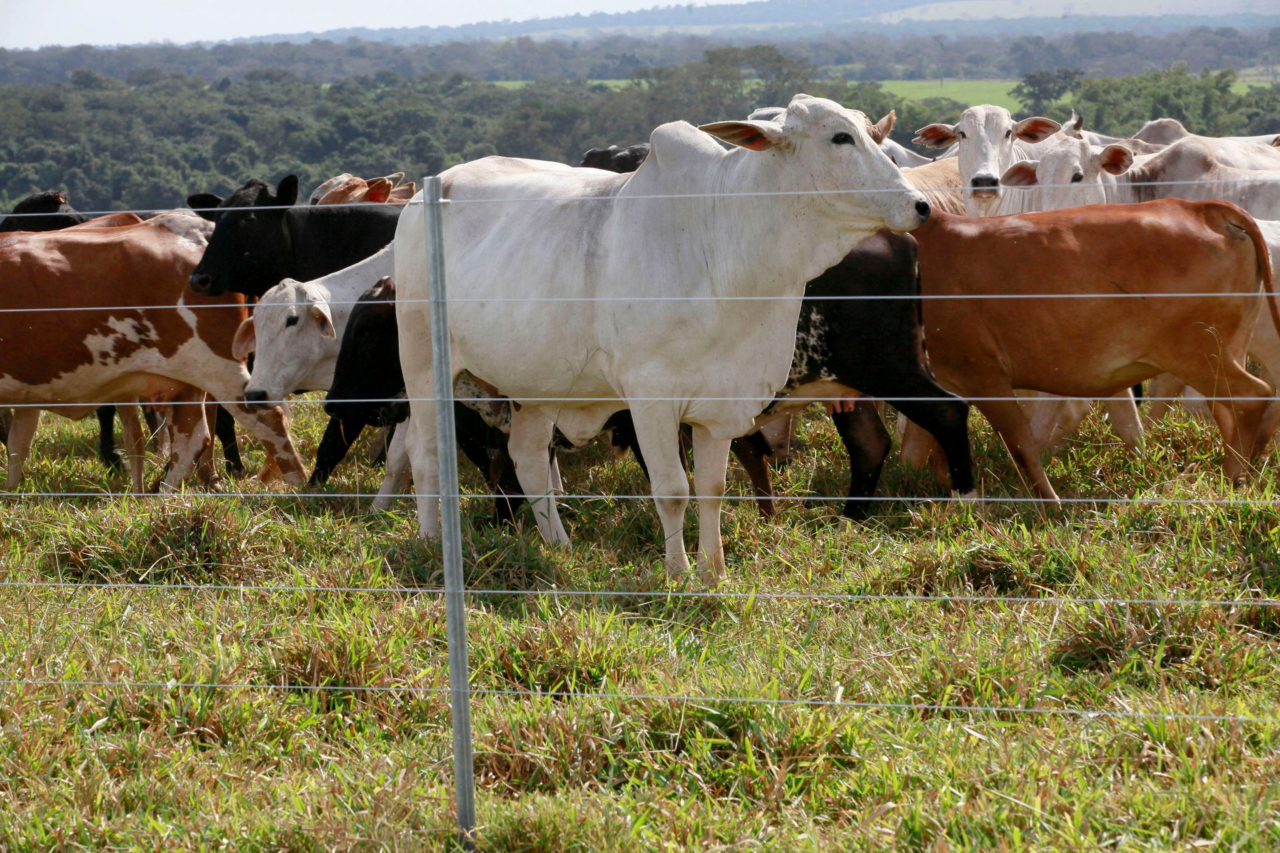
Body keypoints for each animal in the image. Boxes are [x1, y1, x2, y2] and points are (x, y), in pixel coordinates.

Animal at [0, 220, 307, 491]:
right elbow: (17, 444)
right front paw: (13, 492)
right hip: (188, 380)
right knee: (192, 439)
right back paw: (161, 497)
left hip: (221, 370)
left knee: (271, 421)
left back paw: (299, 490)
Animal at [395, 95, 932, 581]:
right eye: (840, 137)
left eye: (875, 135)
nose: (922, 205)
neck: (725, 250)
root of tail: (427, 193)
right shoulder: (651, 399)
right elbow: (673, 489)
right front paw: (677, 573)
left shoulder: (720, 403)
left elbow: (712, 488)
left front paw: (714, 572)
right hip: (423, 360)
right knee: (426, 455)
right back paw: (430, 542)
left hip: (534, 386)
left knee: (526, 458)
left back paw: (559, 547)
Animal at [898, 200, 1275, 502]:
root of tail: (1200, 207)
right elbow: (921, 447)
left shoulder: (983, 375)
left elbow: (1020, 444)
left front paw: (1049, 506)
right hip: (1223, 352)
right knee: (1228, 411)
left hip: (1199, 354)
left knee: (1253, 397)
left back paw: (1234, 478)